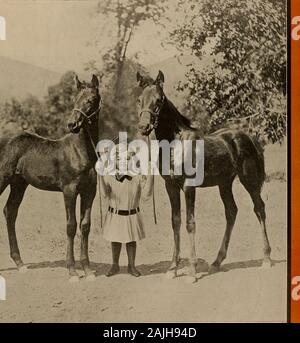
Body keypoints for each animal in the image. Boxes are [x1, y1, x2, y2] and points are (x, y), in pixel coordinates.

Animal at [0, 74, 101, 280]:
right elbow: (71, 226)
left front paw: (87, 270)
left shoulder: (89, 192)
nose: (72, 124)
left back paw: (20, 263)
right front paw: (72, 271)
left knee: (10, 212)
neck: (80, 152)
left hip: (18, 184)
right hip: (2, 178)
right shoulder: (69, 191)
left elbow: (85, 226)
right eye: (74, 99)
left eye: (90, 100)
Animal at [136, 70, 272, 282]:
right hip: (225, 184)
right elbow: (176, 222)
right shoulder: (171, 187)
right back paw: (217, 261)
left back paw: (266, 258)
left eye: (158, 100)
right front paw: (172, 268)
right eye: (139, 99)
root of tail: (249, 137)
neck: (176, 144)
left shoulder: (189, 187)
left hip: (248, 180)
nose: (143, 127)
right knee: (231, 212)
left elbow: (190, 223)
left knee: (259, 209)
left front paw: (192, 271)